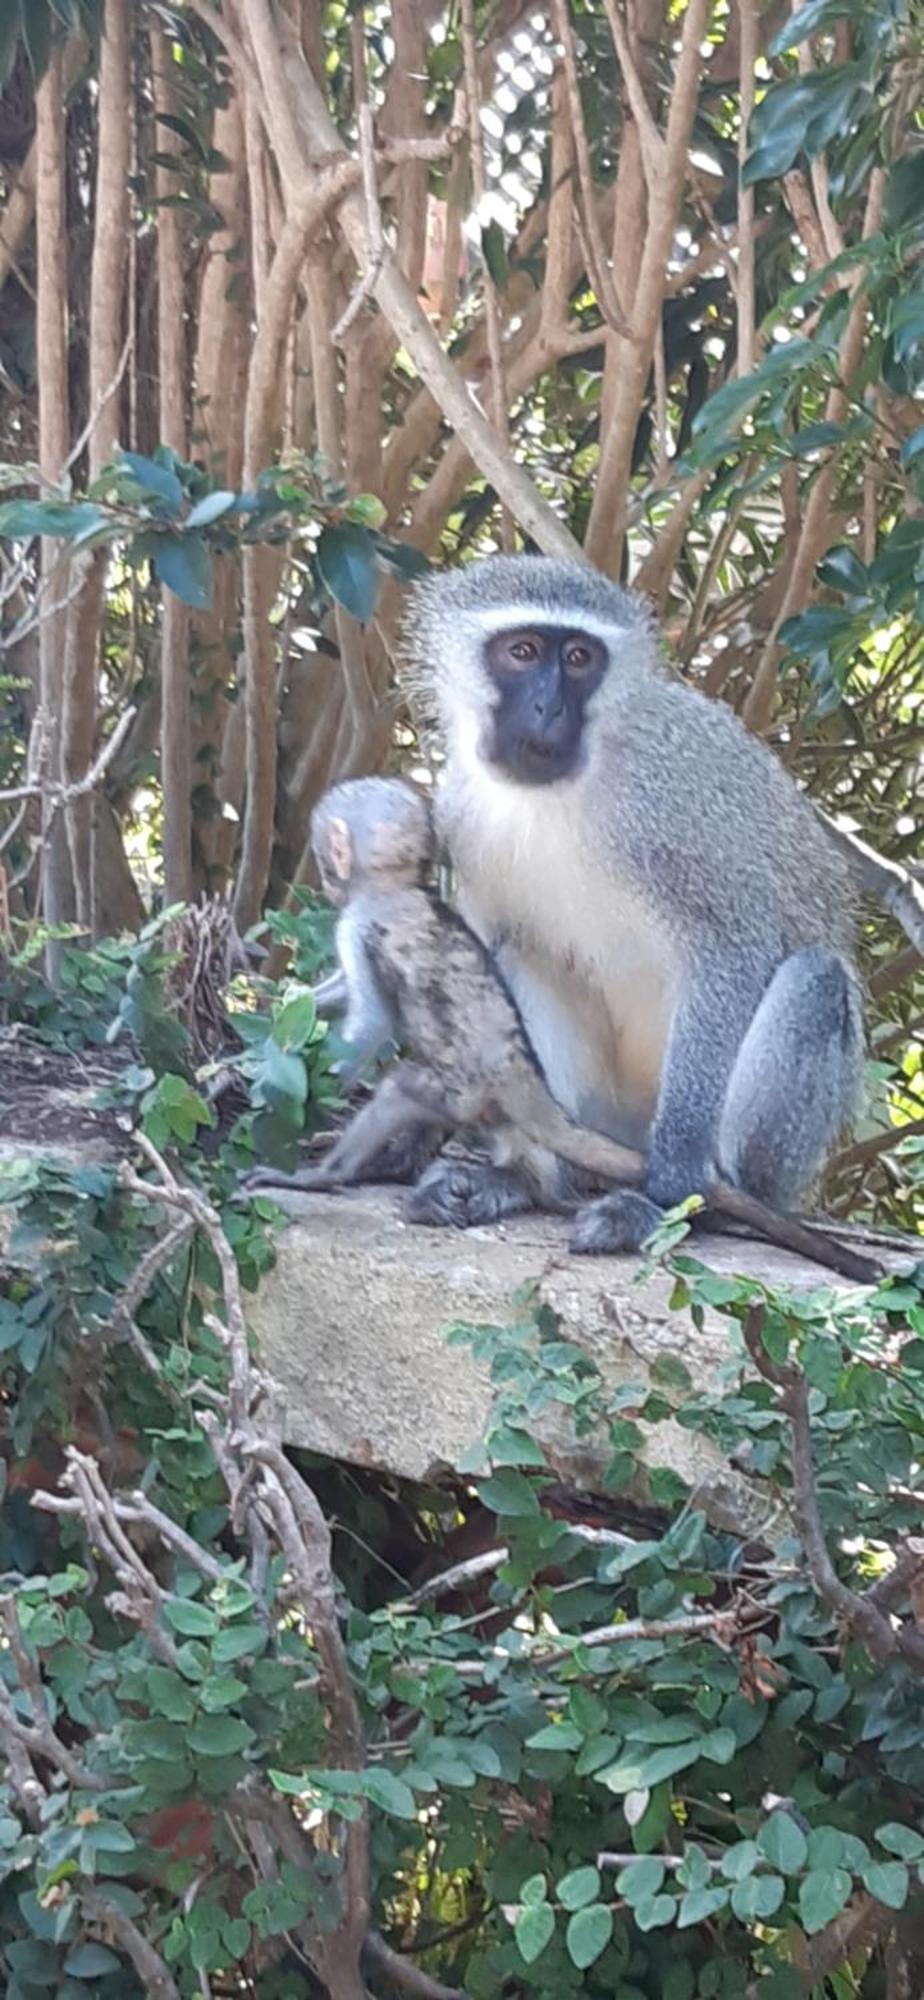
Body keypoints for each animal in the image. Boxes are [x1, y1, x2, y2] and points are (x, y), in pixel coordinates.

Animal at [404, 552, 868, 1248]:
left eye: (578, 659)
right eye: (522, 651)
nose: (547, 706)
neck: (561, 786)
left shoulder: (666, 804)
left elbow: (733, 949)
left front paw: (674, 1182)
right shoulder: (457, 815)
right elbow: (477, 957)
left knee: (816, 978)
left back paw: (708, 1204)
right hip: (603, 1121)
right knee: (519, 958)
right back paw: (530, 1179)